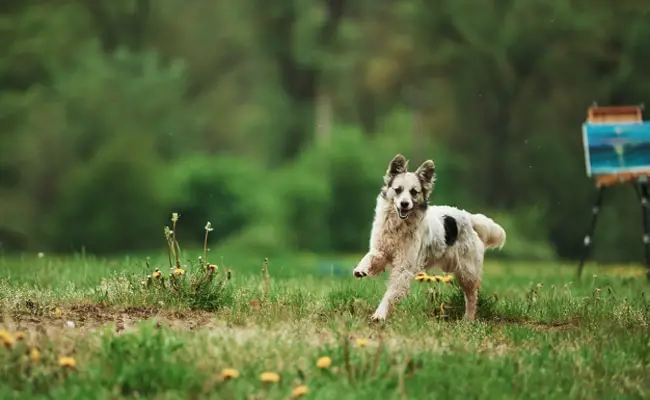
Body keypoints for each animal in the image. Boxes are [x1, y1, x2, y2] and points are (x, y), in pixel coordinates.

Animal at [352, 153, 504, 322]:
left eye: (414, 192)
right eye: (398, 190)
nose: (404, 204)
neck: (399, 226)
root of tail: (469, 217)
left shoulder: (404, 267)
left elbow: (391, 292)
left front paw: (380, 314)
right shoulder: (381, 250)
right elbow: (370, 256)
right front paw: (361, 269)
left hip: (467, 271)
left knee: (472, 296)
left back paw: (468, 319)